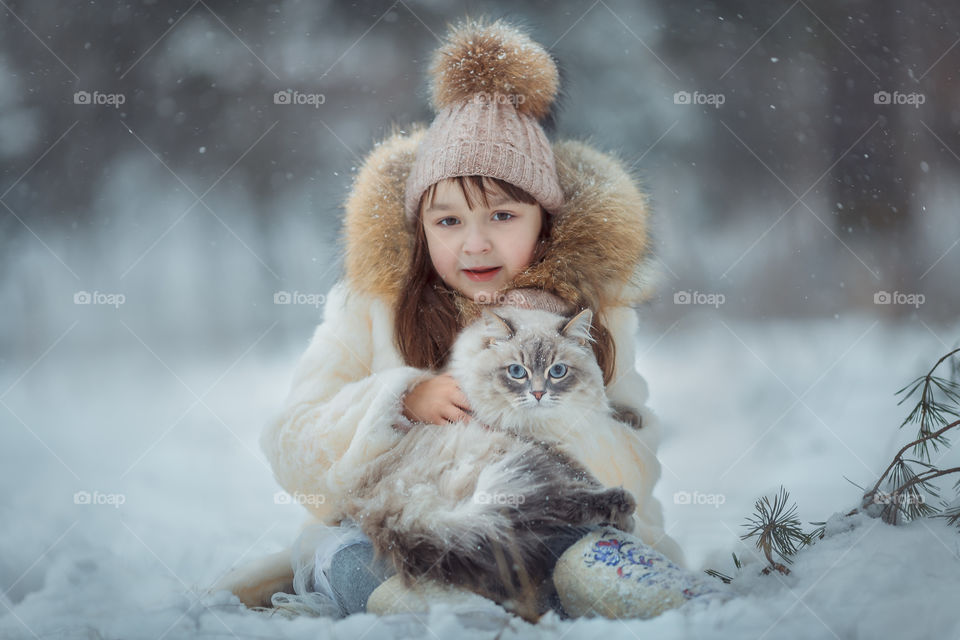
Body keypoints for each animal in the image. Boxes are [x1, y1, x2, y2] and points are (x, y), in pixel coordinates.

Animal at [344, 304, 636, 608]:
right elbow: (586, 476)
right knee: (559, 504)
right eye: (517, 371)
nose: (538, 394)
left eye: (557, 371)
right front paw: (627, 519)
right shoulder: (548, 449)